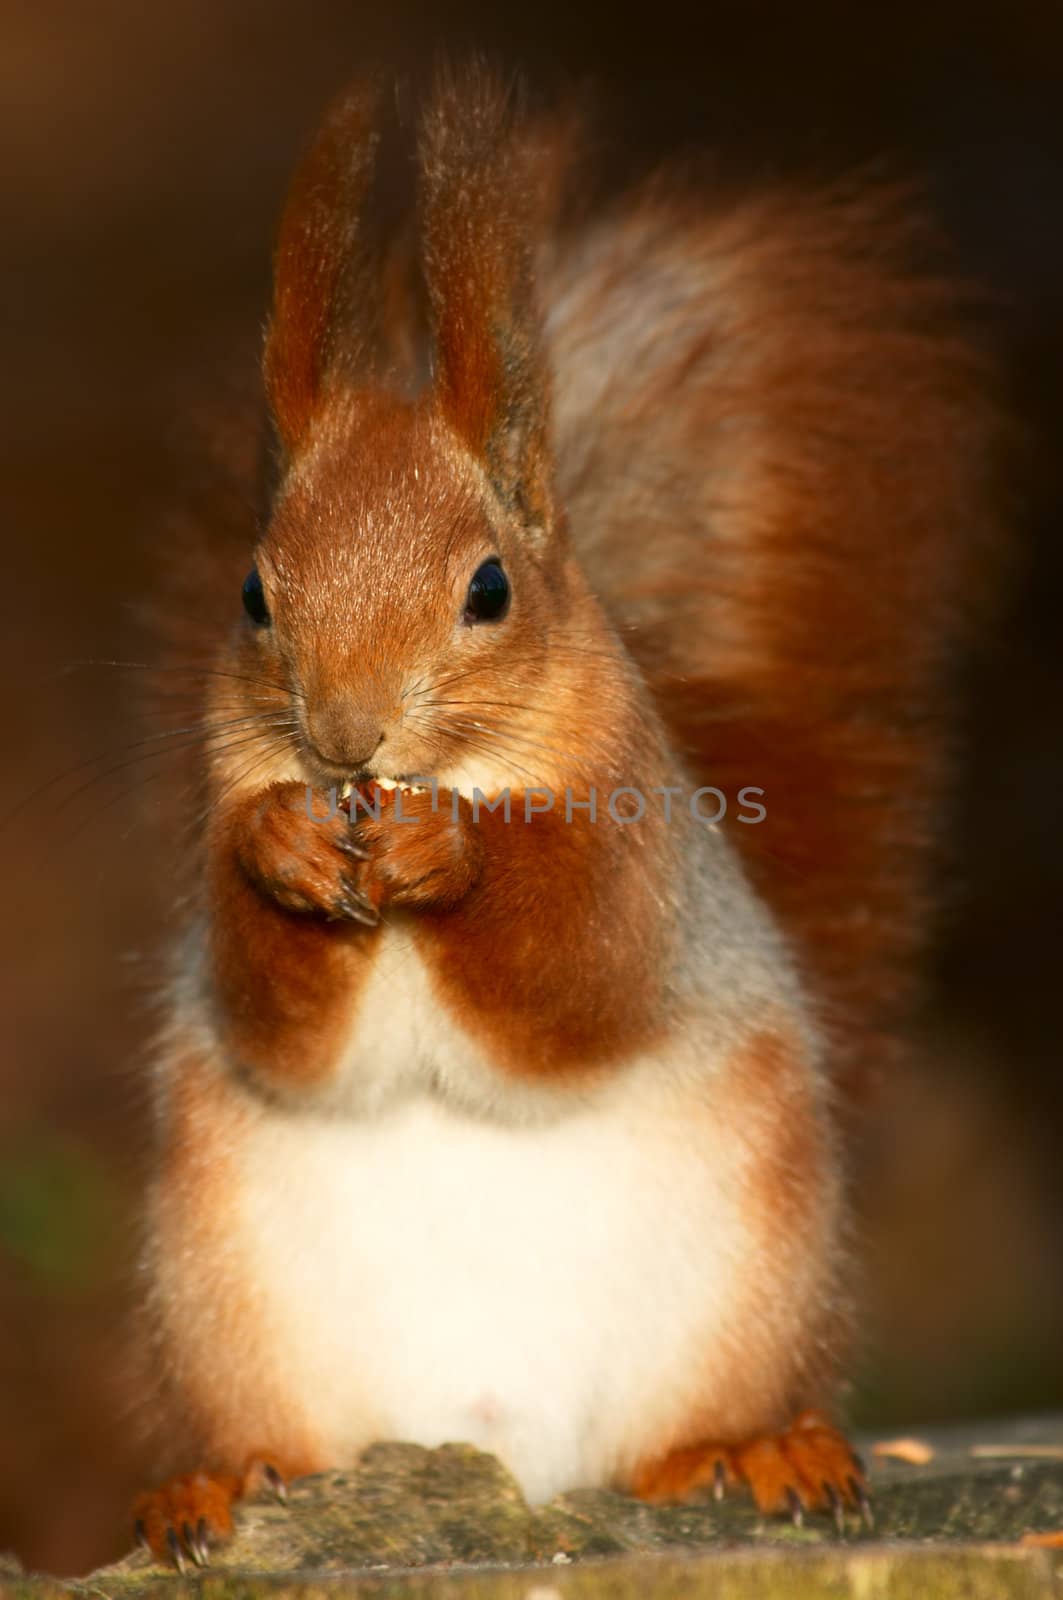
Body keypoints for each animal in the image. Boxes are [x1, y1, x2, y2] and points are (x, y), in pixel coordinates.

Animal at [130, 62, 1005, 1561]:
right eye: (253, 594)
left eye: (489, 589)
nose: (345, 737)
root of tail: (521, 1468)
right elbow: (270, 1019)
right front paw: (286, 846)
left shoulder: (642, 864)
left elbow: (572, 975)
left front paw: (454, 852)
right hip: (225, 1305)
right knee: (273, 1438)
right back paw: (220, 1482)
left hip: (744, 1290)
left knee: (681, 1436)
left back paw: (747, 1453)